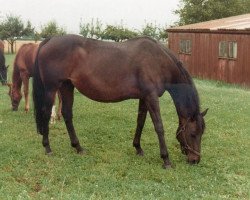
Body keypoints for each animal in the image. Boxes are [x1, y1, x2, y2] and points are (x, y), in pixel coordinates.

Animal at [33, 34, 209, 169]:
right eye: (193, 134)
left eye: (202, 133)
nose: (195, 160)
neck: (158, 60)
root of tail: (50, 39)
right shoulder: (151, 97)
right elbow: (159, 127)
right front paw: (166, 160)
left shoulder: (144, 98)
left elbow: (140, 122)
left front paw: (138, 148)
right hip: (51, 88)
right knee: (46, 113)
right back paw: (47, 147)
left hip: (66, 86)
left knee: (67, 115)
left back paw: (78, 147)